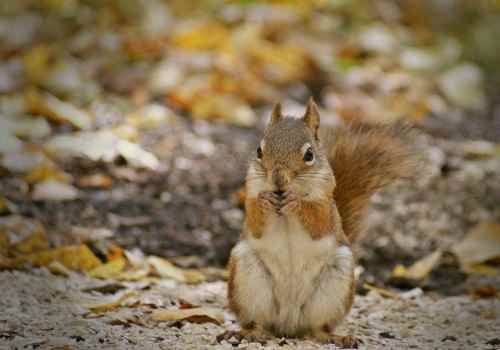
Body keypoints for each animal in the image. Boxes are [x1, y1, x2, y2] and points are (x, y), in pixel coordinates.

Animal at [219, 98, 418, 348]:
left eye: (309, 155)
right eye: (258, 150)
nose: (278, 179)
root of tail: (288, 325)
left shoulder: (327, 209)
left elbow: (317, 222)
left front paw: (297, 202)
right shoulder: (250, 198)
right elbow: (255, 223)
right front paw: (265, 201)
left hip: (334, 286)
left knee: (318, 329)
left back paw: (336, 337)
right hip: (248, 280)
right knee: (258, 322)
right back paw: (248, 333)